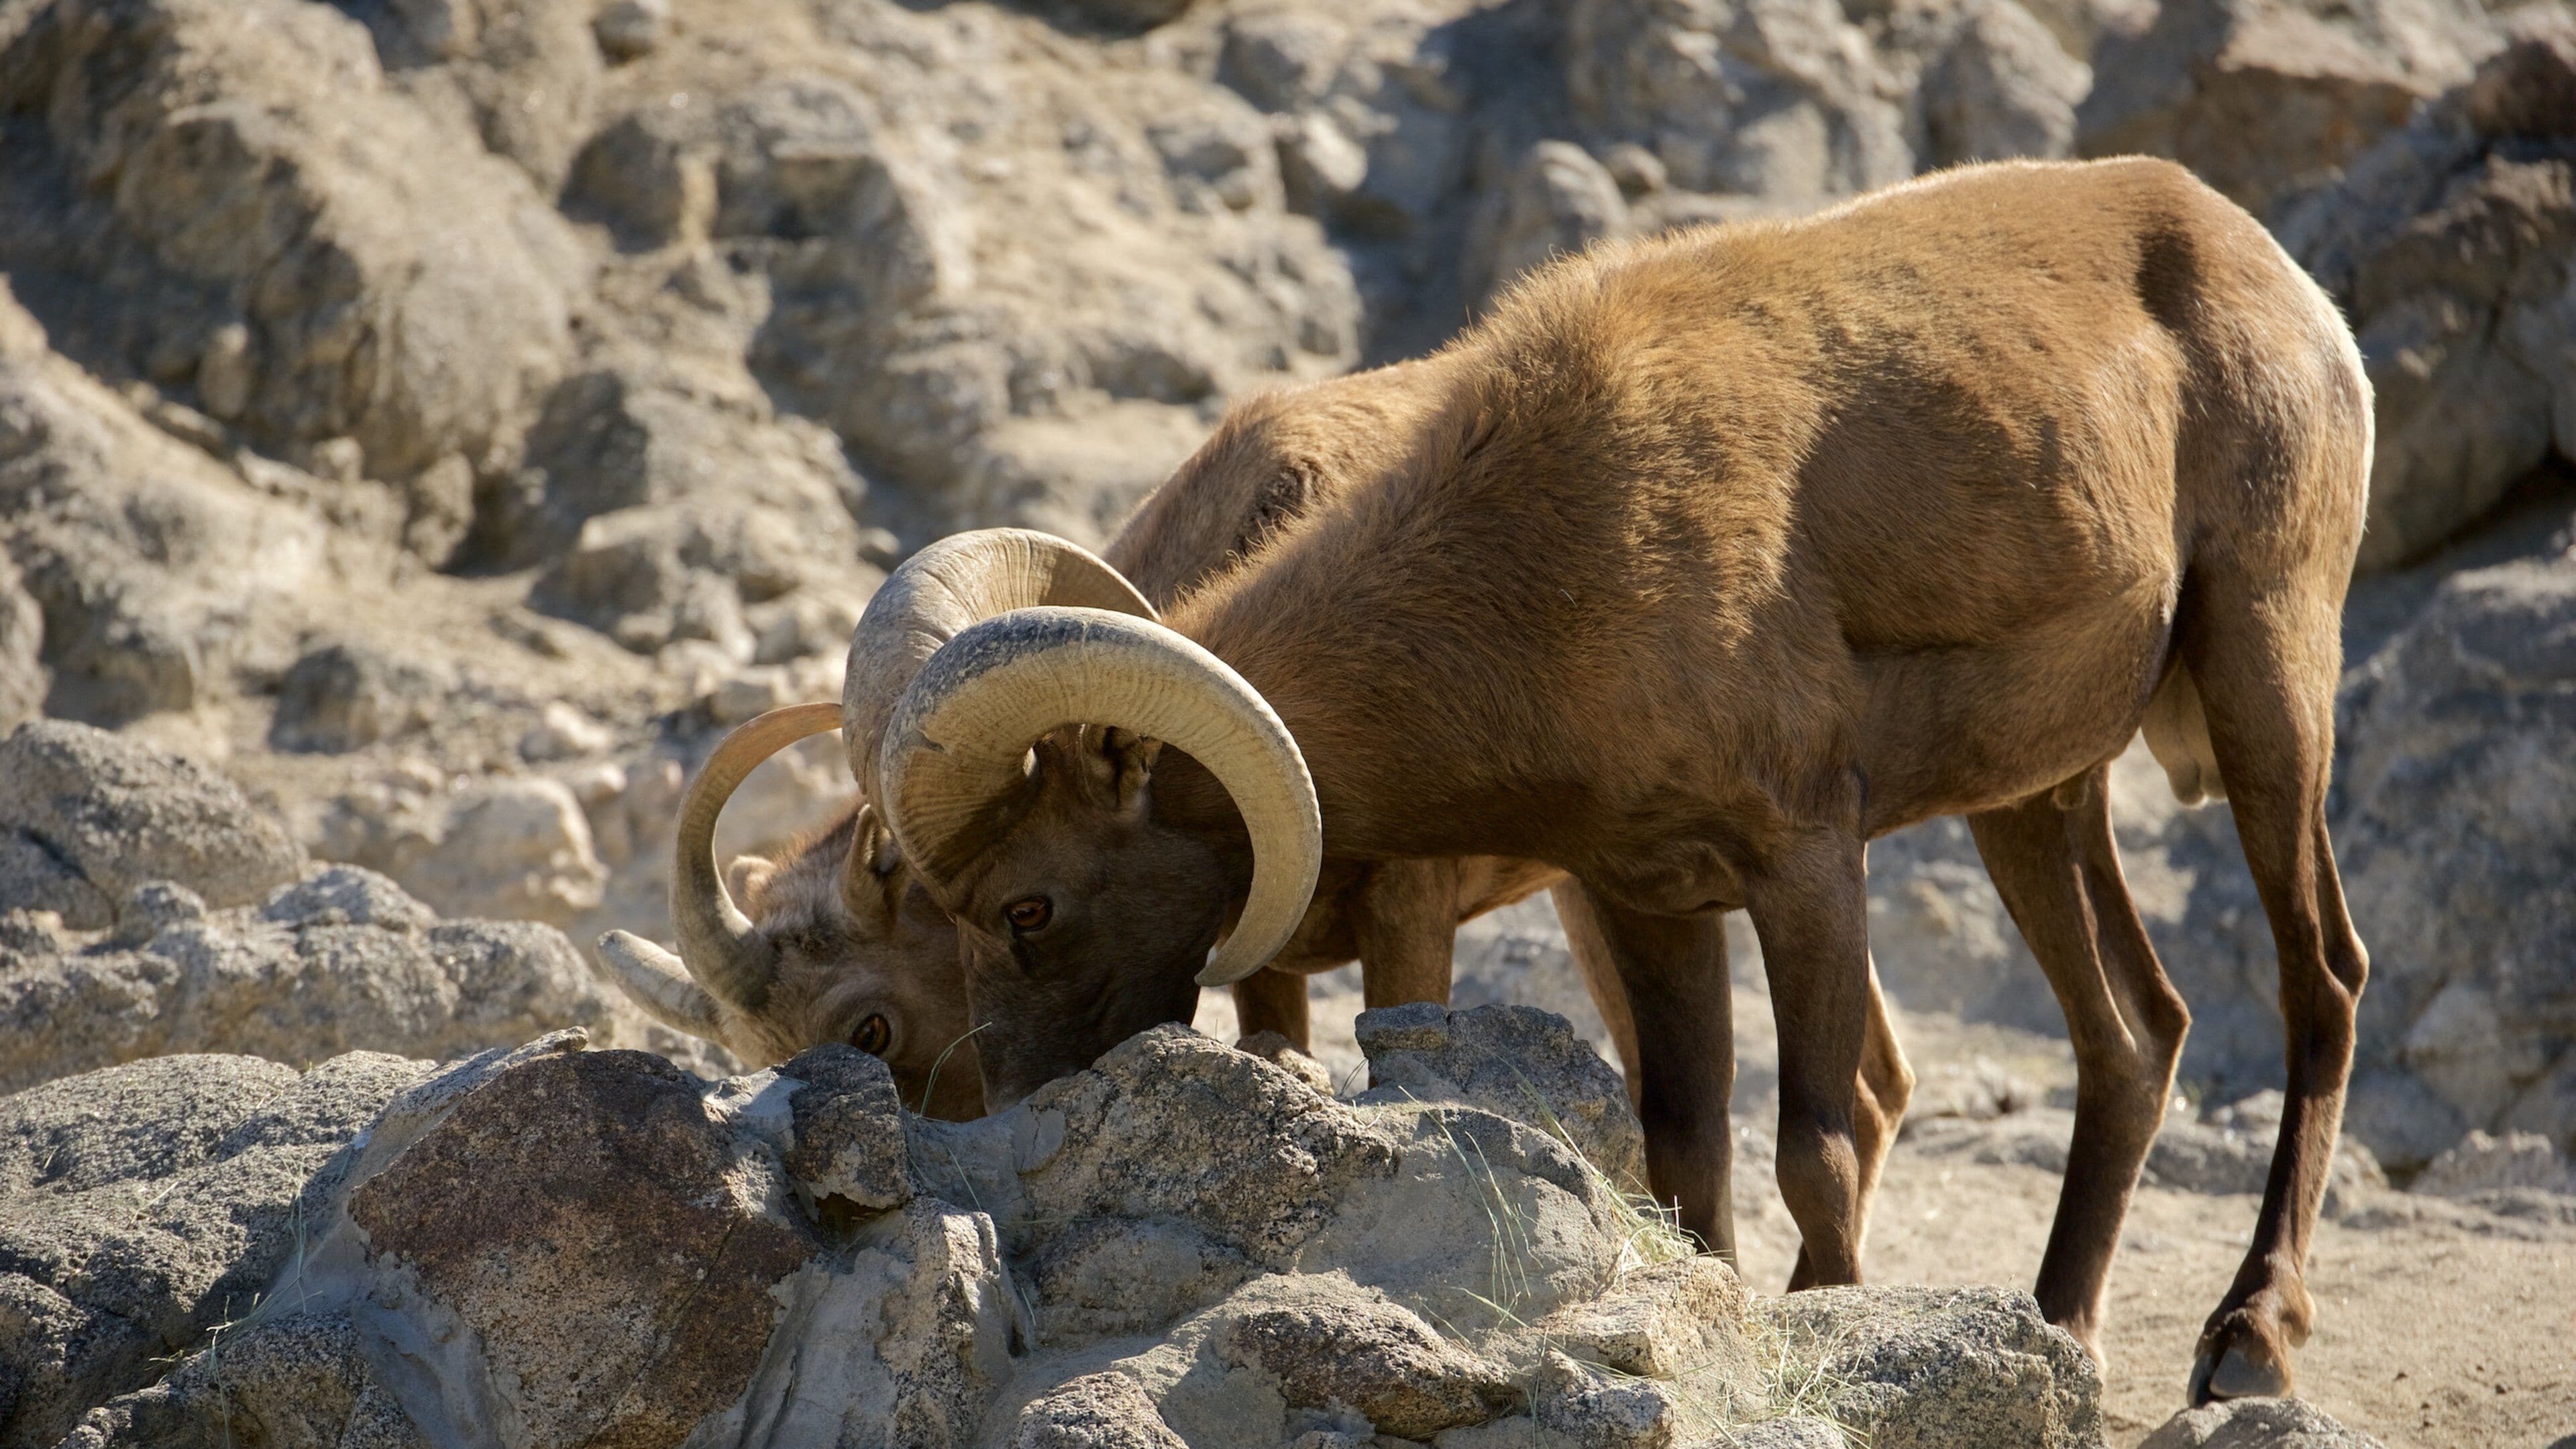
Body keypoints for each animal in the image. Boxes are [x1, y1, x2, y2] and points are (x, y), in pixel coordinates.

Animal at [824, 157, 2374, 1403]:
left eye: (1026, 907)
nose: (1000, 1119)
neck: (1558, 556)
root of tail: (2264, 266)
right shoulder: (1650, 901)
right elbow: (1686, 1157)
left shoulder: (1808, 862)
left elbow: (1814, 1146)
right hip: (2033, 806)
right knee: (2137, 1035)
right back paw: (2061, 1331)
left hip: (2267, 677)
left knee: (2323, 981)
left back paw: (2250, 1340)